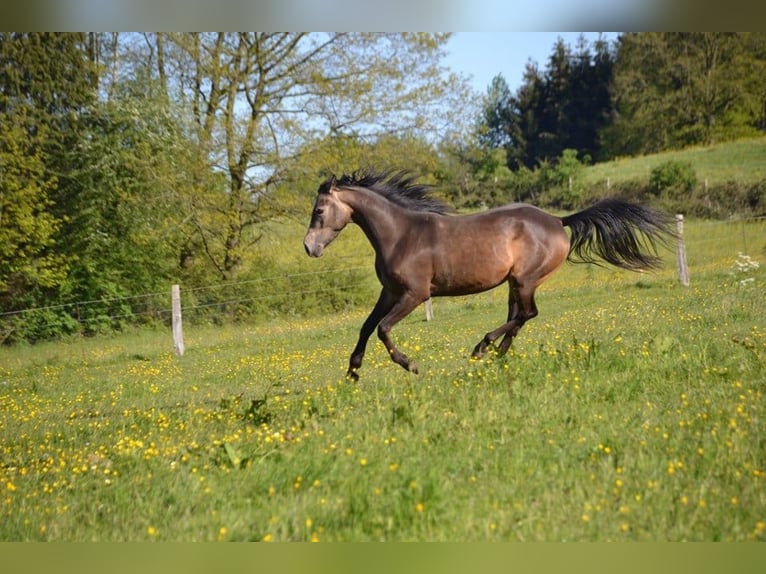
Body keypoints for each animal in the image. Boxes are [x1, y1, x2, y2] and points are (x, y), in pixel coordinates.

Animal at [304, 170, 676, 382]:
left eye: (319, 210)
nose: (309, 247)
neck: (401, 234)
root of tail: (559, 221)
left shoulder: (414, 295)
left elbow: (382, 329)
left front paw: (410, 365)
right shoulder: (390, 293)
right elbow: (366, 327)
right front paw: (352, 372)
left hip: (526, 279)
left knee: (527, 313)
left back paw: (482, 348)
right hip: (515, 282)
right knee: (519, 316)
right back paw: (497, 356)